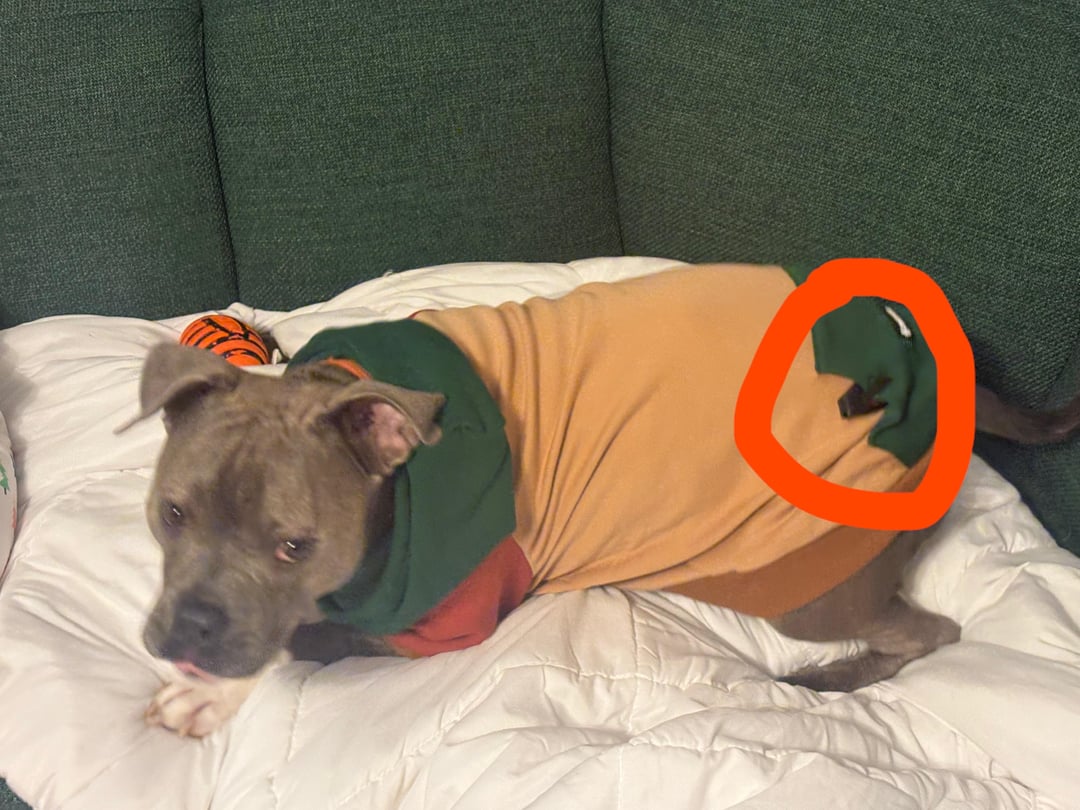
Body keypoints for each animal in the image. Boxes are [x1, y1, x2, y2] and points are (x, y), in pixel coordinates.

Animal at [125, 264, 1080, 737]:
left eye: (294, 545)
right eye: (170, 515)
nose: (191, 628)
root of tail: (933, 375)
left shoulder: (445, 628)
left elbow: (304, 641)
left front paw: (208, 695)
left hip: (813, 589)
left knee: (933, 633)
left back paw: (834, 677)